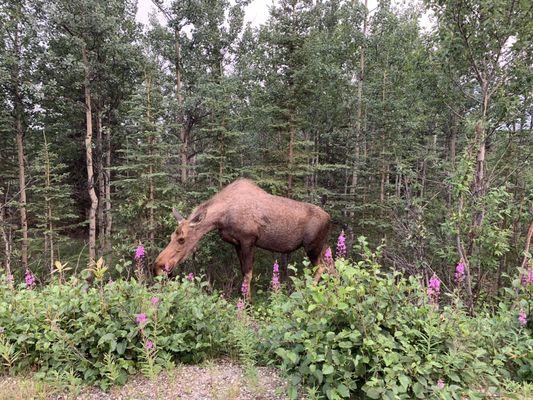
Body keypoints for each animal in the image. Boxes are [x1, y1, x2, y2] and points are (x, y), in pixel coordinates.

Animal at [152, 178, 330, 296]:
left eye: (182, 239)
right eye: (171, 236)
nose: (158, 266)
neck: (221, 218)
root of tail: (330, 219)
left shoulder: (248, 240)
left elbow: (248, 274)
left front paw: (246, 305)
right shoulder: (236, 243)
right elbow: (244, 272)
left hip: (312, 247)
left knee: (321, 267)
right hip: (323, 247)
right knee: (332, 267)